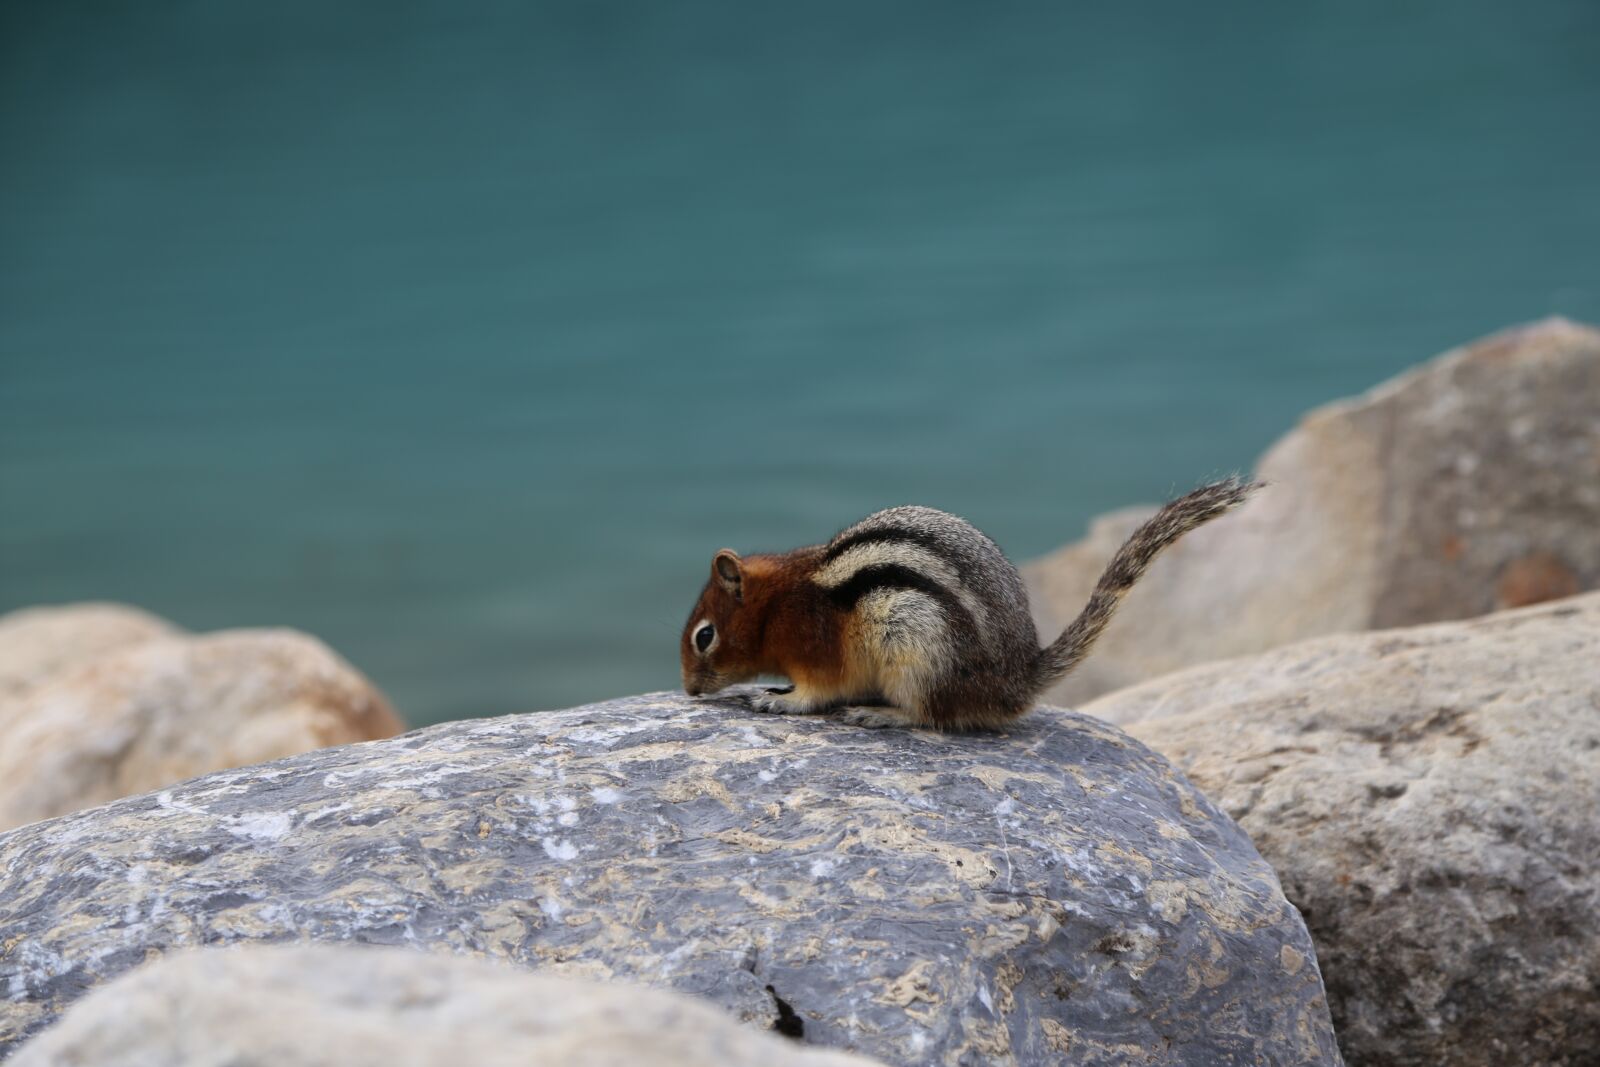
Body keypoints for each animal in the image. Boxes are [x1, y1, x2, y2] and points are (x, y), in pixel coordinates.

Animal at [679, 477, 1261, 730]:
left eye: (704, 636)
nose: (687, 690)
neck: (778, 605)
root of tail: (1016, 683)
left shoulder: (818, 651)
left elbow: (817, 693)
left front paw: (779, 700)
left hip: (918, 651)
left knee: (931, 715)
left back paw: (880, 712)